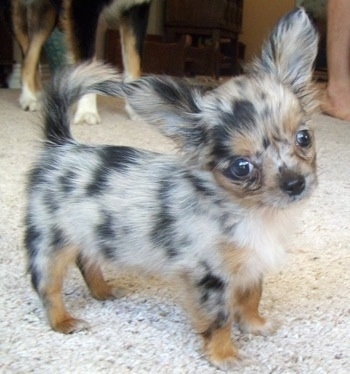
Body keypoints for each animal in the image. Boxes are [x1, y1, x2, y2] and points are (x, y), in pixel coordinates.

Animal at [5, 0, 150, 123]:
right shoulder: (83, 9)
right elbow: (88, 67)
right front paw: (87, 111)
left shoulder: (136, 9)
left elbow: (134, 63)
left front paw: (137, 109)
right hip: (15, 10)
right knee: (28, 54)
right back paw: (29, 98)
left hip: (48, 13)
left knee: (31, 50)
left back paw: (37, 94)